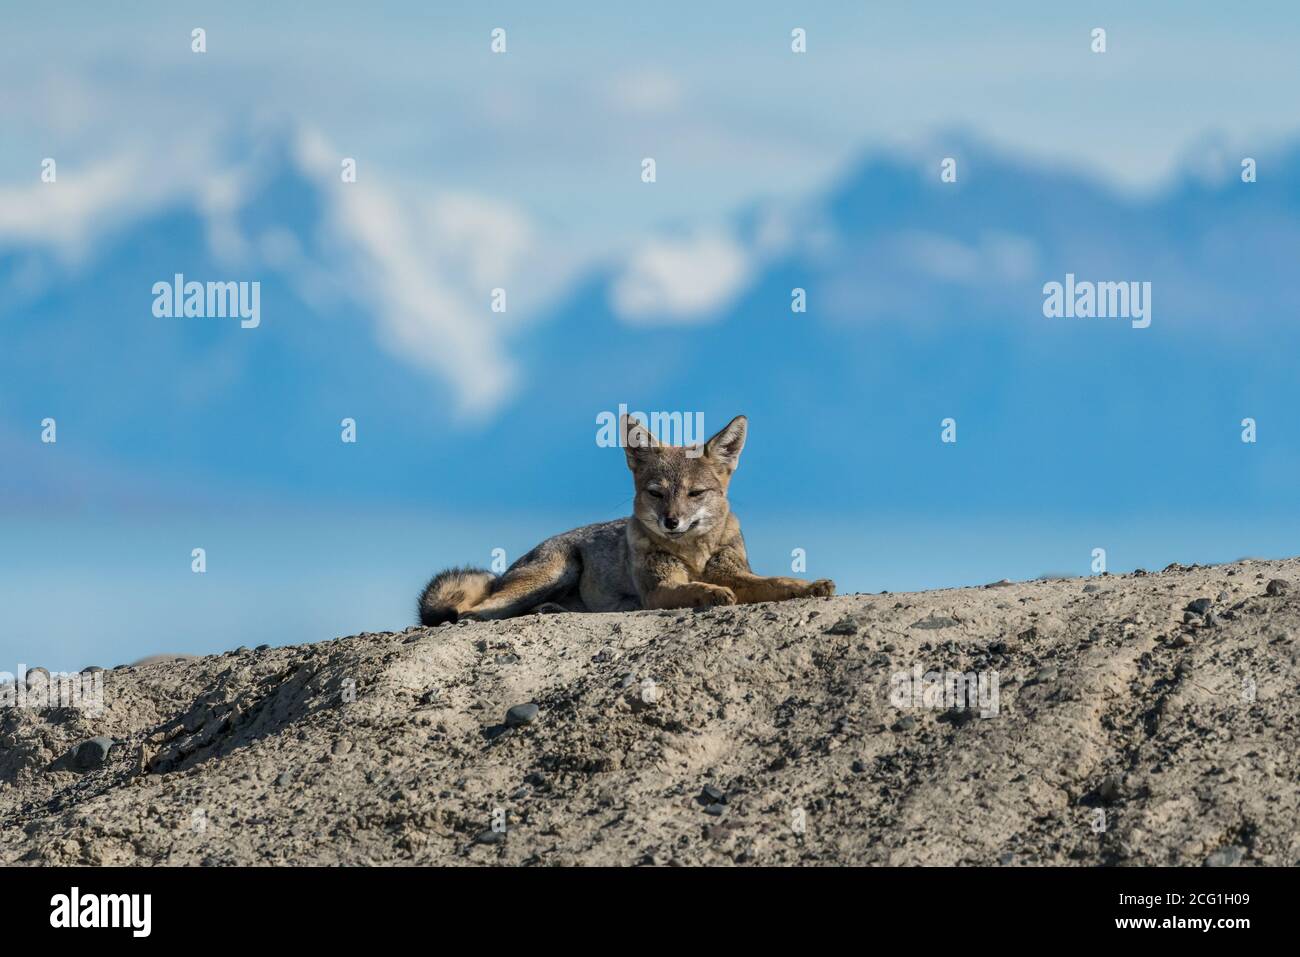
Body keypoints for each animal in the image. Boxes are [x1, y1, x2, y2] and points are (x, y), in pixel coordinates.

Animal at [421, 413, 837, 624]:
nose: (671, 522)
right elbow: (691, 588)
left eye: (695, 494)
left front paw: (809, 586)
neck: (693, 555)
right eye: (656, 493)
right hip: (554, 574)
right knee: (469, 612)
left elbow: (776, 582)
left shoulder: (736, 572)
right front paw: (709, 592)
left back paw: (555, 610)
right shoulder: (659, 588)